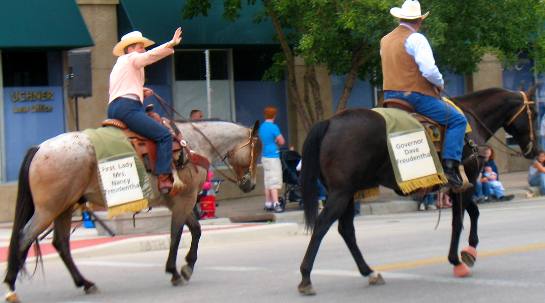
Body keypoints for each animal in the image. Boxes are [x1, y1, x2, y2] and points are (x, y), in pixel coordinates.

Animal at [2, 120, 262, 302]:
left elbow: (195, 230)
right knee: (23, 237)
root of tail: (40, 148)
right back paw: (11, 288)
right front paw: (176, 271)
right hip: (49, 210)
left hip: (64, 208)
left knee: (61, 244)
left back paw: (85, 283)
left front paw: (187, 266)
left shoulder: (177, 201)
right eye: (256, 151)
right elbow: (177, 234)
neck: (191, 144)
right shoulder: (184, 199)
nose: (250, 184)